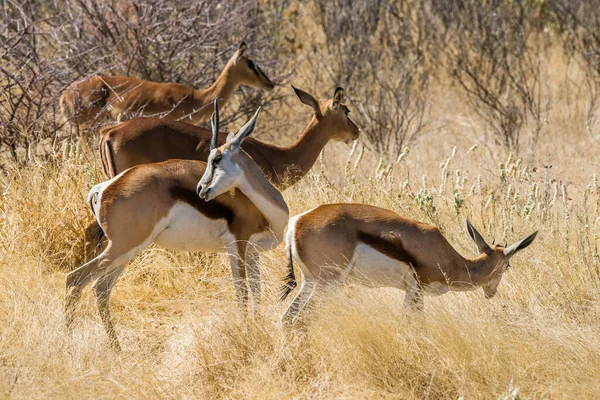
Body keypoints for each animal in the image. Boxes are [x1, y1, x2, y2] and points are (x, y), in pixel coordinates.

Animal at [65, 101, 288, 350]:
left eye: (217, 159)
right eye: (210, 159)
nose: (201, 189)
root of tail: (105, 186)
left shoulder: (252, 252)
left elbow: (257, 293)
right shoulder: (237, 246)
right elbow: (243, 293)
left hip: (127, 251)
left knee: (101, 288)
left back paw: (117, 348)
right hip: (122, 248)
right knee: (75, 279)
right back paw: (68, 343)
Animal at [282, 205, 540, 324]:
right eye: (507, 266)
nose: (491, 293)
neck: (449, 259)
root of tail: (297, 222)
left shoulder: (411, 291)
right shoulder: (417, 290)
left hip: (310, 282)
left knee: (286, 319)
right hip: (328, 284)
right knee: (301, 321)